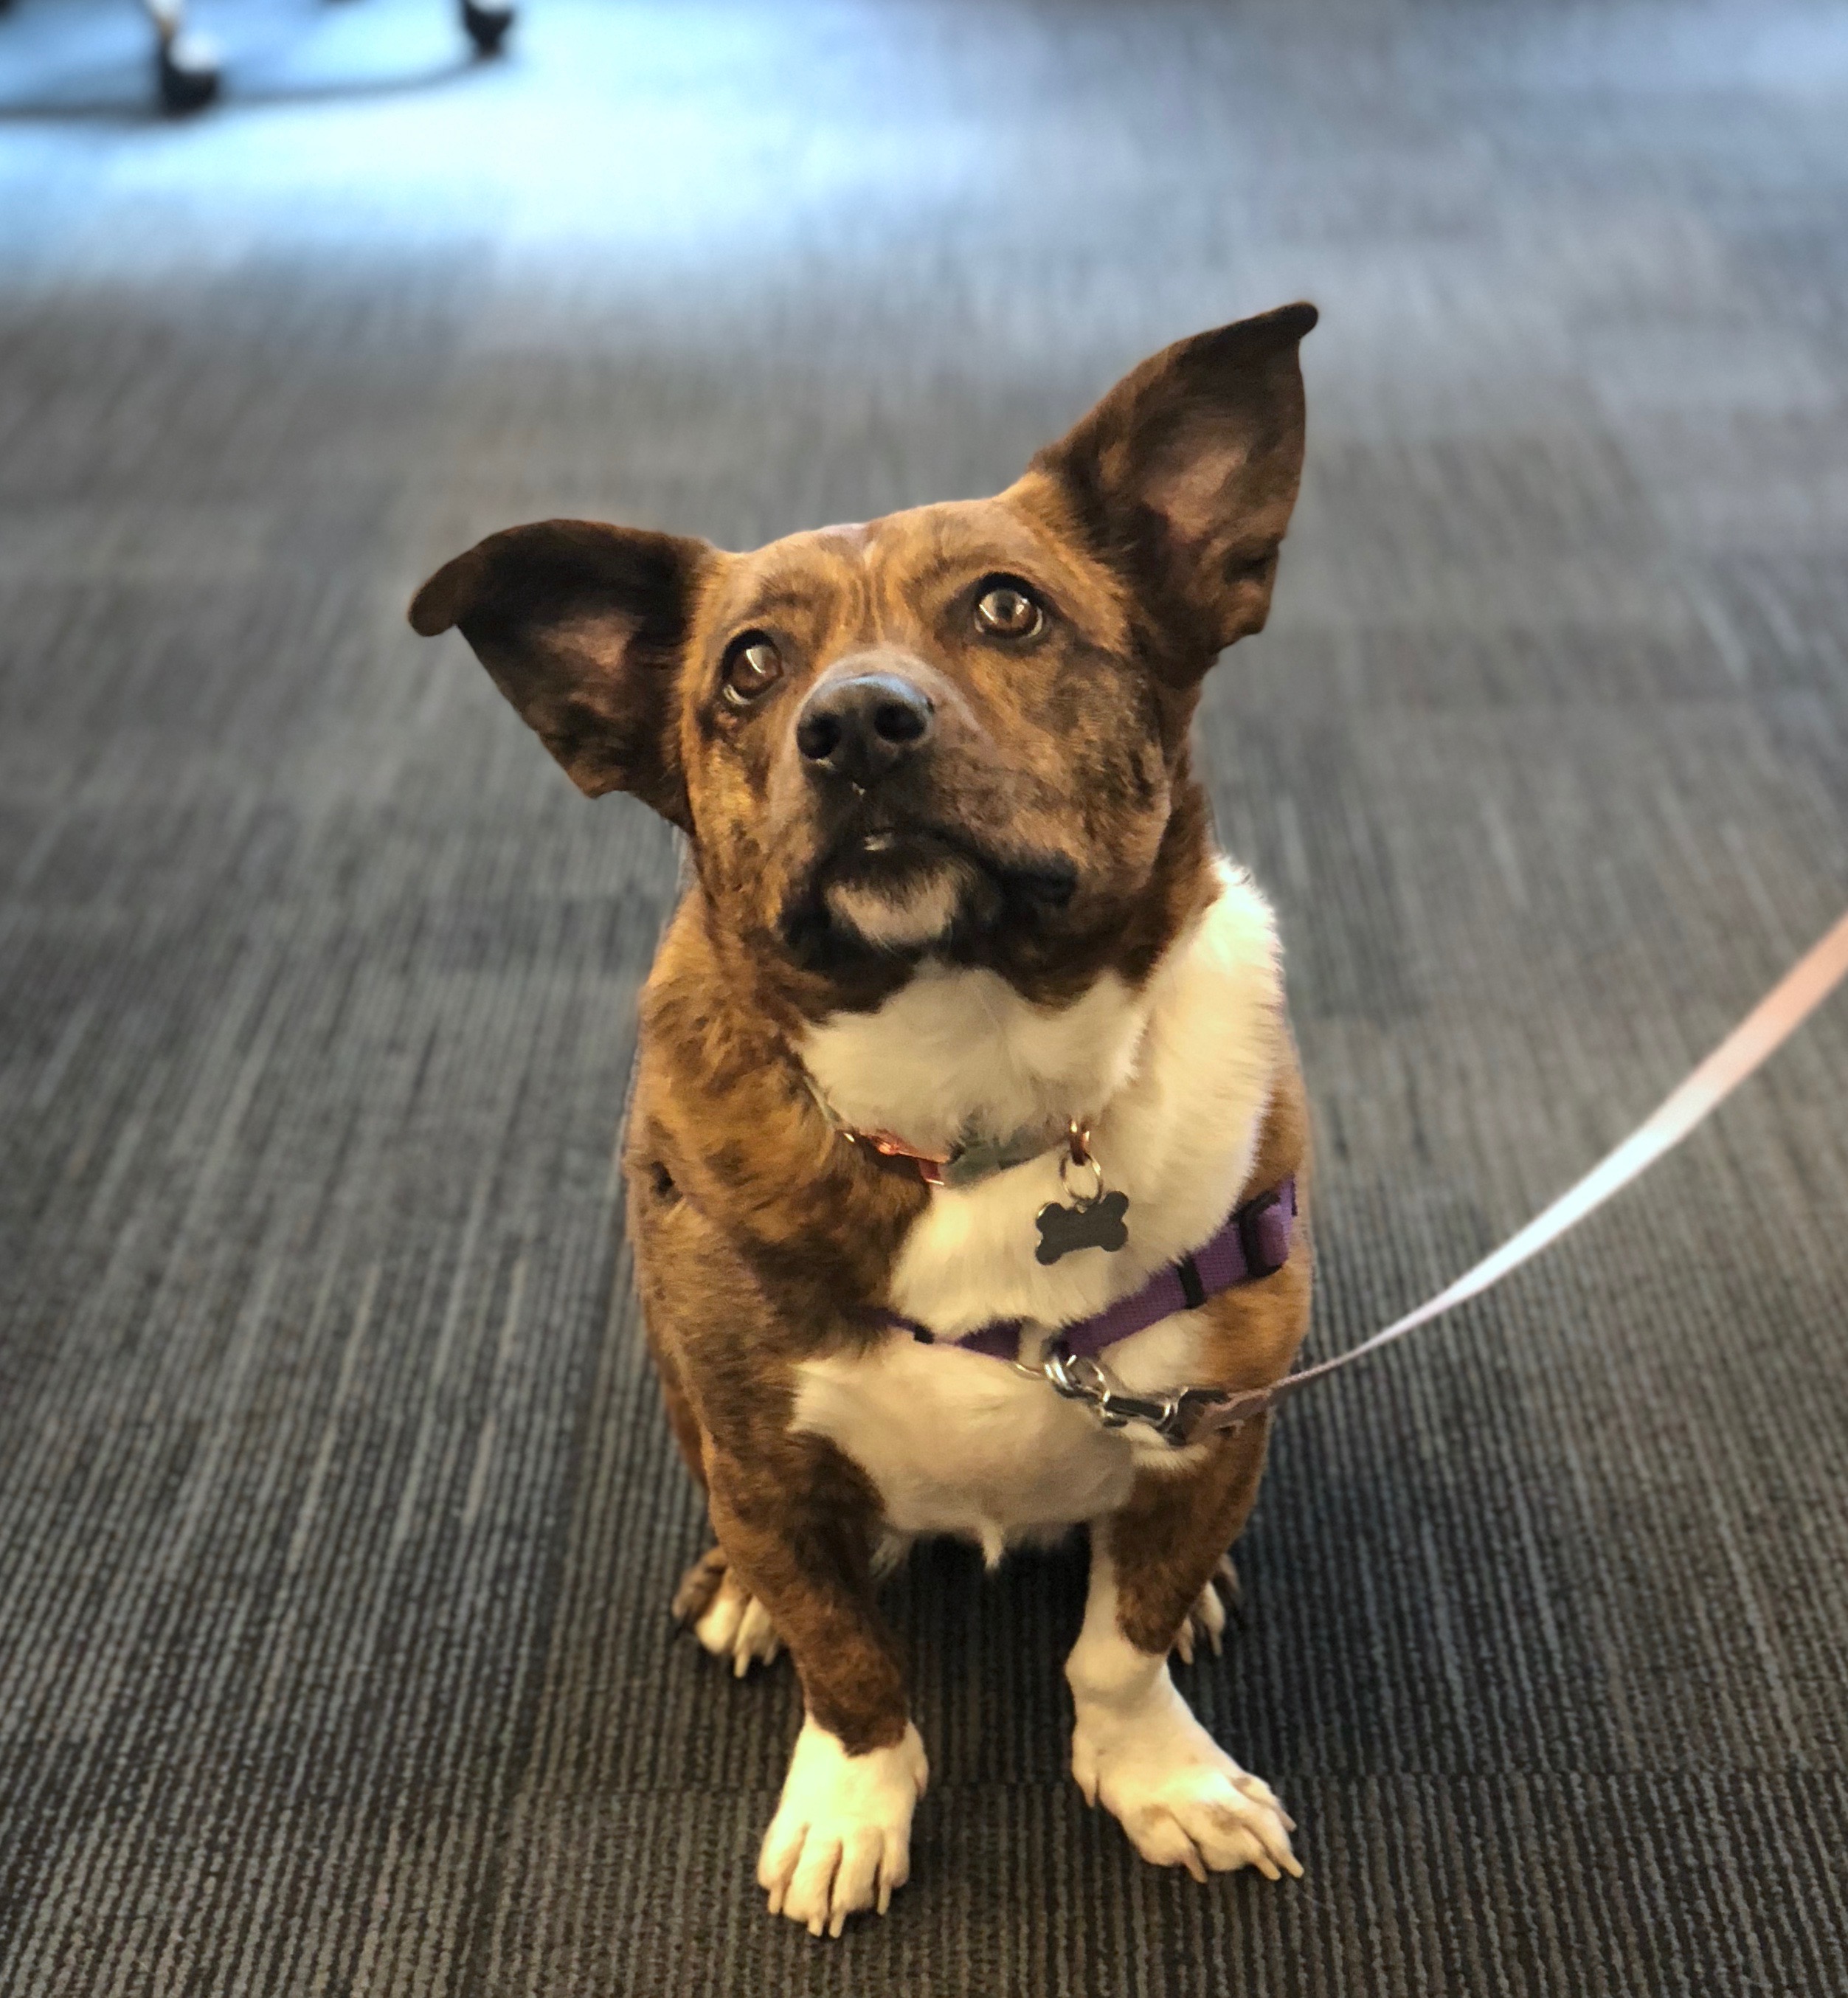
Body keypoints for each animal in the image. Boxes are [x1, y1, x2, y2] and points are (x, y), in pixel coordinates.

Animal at [411, 300, 1318, 1934]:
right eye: (750, 667)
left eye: (1010, 611)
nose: (855, 726)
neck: (971, 1093)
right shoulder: (768, 1455)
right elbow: (850, 1664)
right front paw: (849, 1804)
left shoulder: (1212, 1418)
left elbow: (1122, 1637)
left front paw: (1159, 1771)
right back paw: (737, 1595)